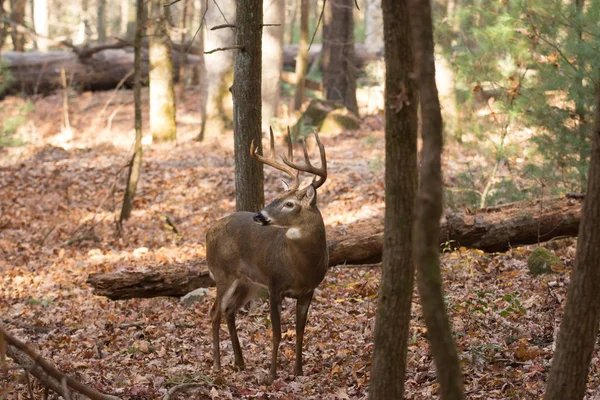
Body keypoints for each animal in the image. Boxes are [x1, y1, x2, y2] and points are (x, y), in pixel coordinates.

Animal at [206, 127, 328, 382]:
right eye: (276, 198)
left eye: (289, 203)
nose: (258, 215)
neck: (301, 267)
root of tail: (208, 231)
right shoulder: (274, 284)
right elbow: (277, 333)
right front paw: (271, 376)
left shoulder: (308, 290)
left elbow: (300, 332)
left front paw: (298, 371)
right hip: (223, 274)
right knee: (214, 313)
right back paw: (218, 367)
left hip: (248, 282)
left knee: (229, 311)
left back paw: (240, 362)